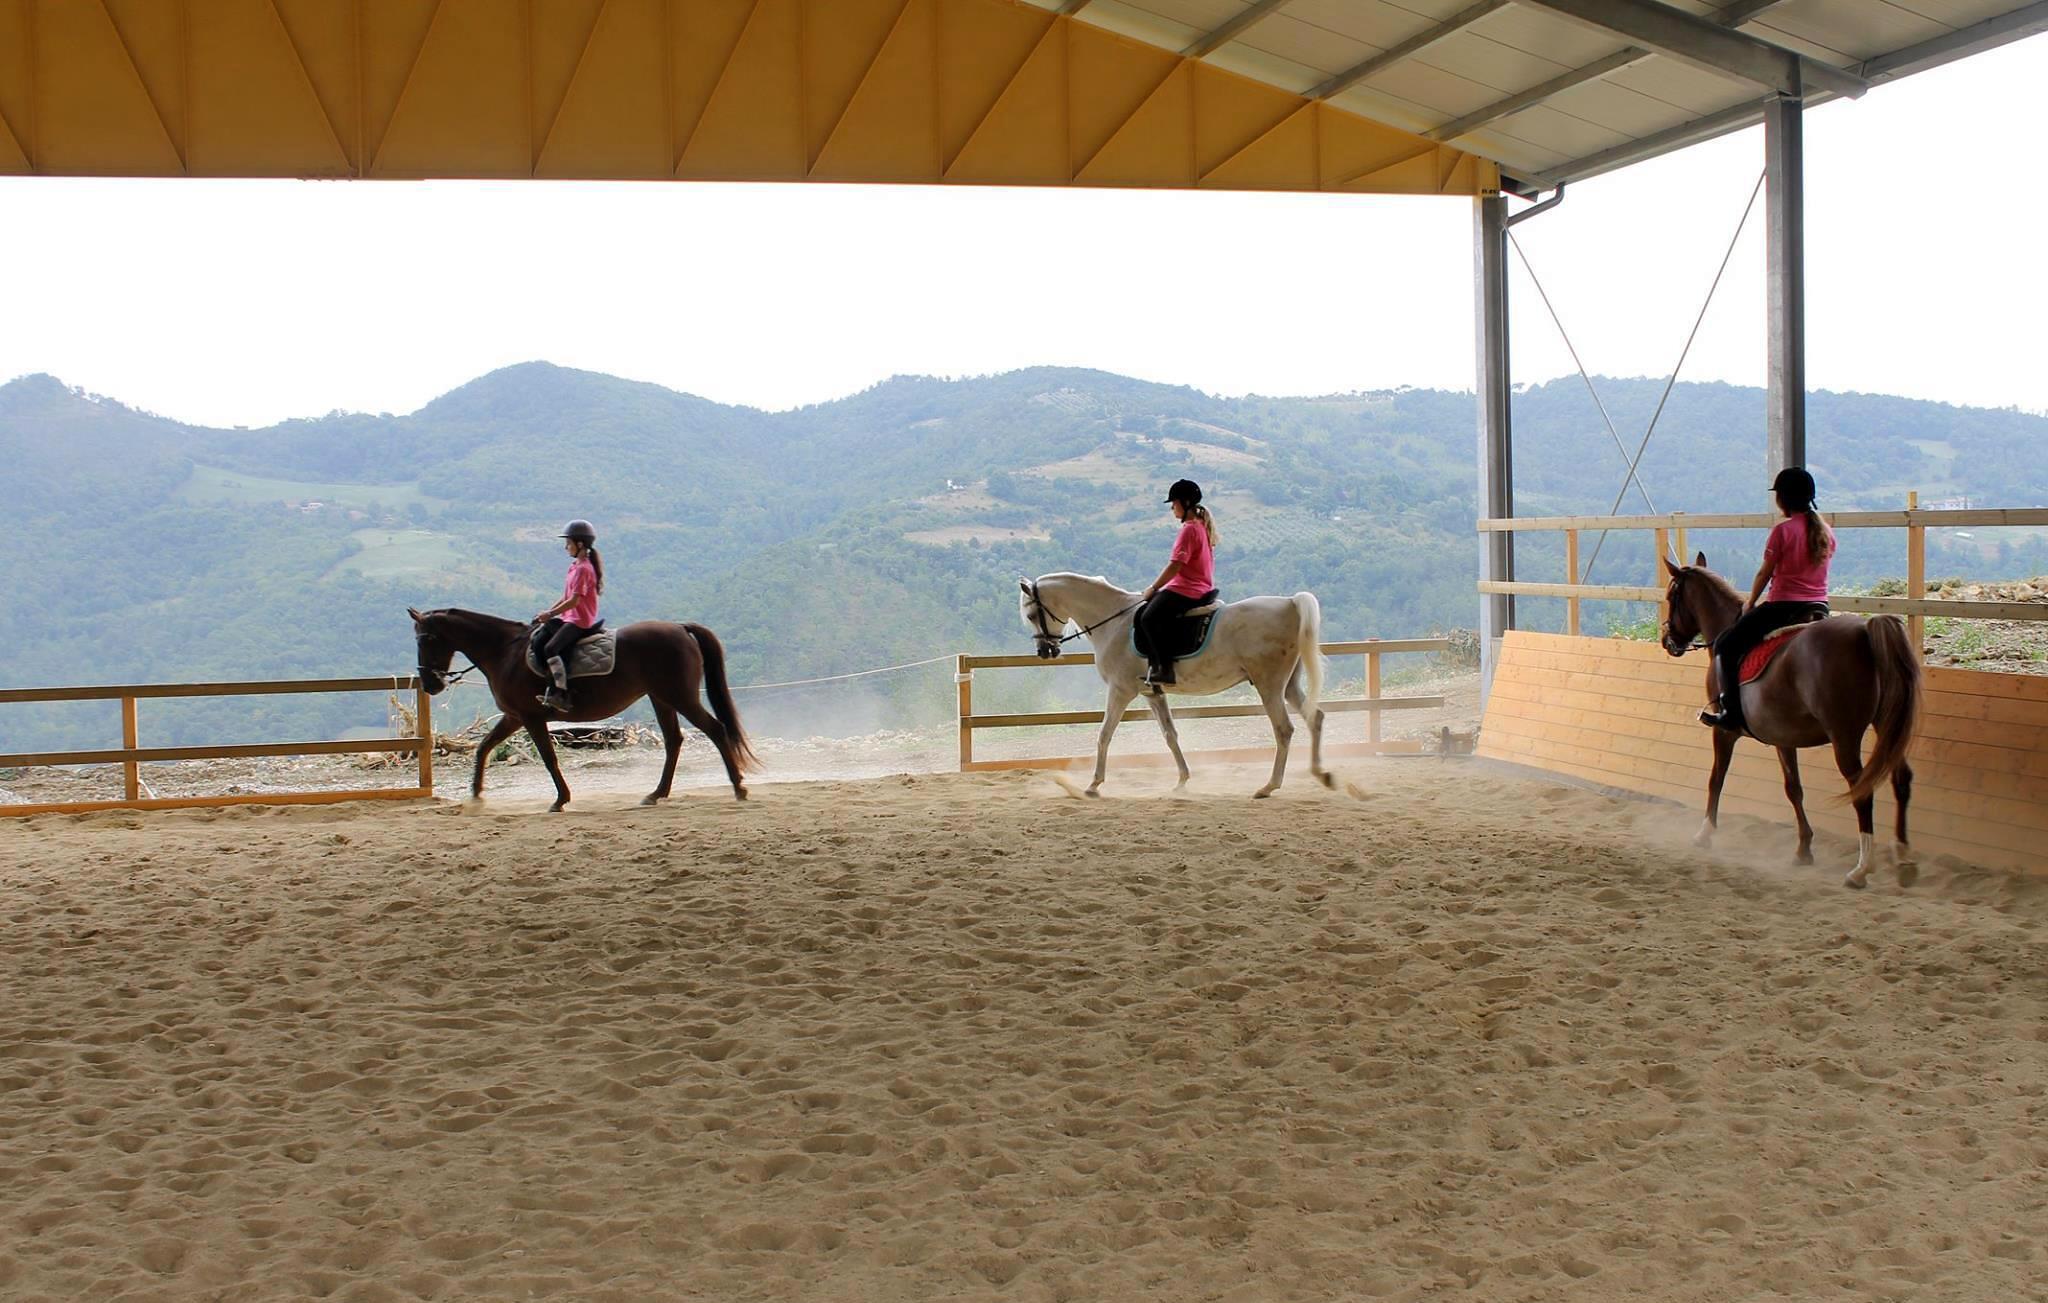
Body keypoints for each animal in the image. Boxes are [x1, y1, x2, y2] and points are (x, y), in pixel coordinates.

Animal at [408, 607, 757, 810]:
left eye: (426, 639)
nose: (429, 684)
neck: (505, 652)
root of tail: (681, 628)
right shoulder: (514, 716)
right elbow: (484, 747)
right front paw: (477, 793)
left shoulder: (531, 717)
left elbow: (548, 758)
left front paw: (561, 800)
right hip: (661, 698)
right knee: (674, 741)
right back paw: (656, 794)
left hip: (679, 696)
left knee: (715, 730)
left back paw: (738, 787)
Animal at [1019, 573, 1329, 798]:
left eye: (1032, 615)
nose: (1045, 651)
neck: (1114, 620)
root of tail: (1290, 603)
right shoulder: (1152, 693)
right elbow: (1170, 735)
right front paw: (1182, 780)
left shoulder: (1120, 691)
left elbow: (1104, 734)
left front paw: (1094, 785)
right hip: (1288, 685)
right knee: (1315, 717)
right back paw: (1321, 774)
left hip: (1269, 686)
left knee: (1284, 729)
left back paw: (1269, 786)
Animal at [1659, 555, 1920, 889]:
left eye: (1672, 597)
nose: (1668, 641)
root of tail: (1865, 629)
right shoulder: (1783, 737)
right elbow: (1793, 788)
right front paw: (1803, 849)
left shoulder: (1723, 731)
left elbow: (1716, 778)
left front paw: (1705, 834)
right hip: (1887, 724)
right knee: (1901, 779)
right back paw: (1904, 858)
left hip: (1844, 735)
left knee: (1862, 790)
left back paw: (1861, 869)